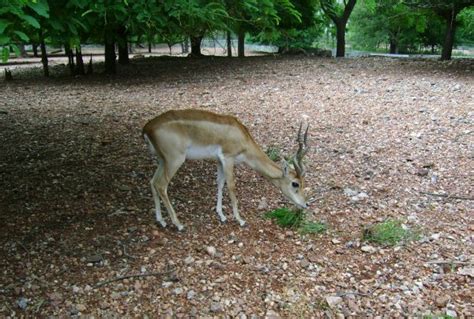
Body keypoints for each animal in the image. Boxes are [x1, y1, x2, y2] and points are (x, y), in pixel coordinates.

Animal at [143, 109, 310, 231]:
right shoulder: (228, 158)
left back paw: (161, 221)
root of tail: (148, 128)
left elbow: (220, 183)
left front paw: (222, 216)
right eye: (295, 183)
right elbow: (231, 186)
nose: (306, 204)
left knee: (152, 182)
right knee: (161, 185)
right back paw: (178, 225)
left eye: (304, 182)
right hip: (174, 160)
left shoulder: (219, 160)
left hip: (162, 160)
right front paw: (240, 220)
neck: (242, 137)